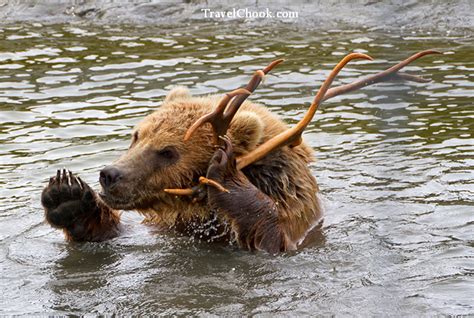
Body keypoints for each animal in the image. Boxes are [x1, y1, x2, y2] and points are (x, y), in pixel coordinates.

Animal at [40, 49, 440, 253]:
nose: (111, 174)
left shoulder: (293, 225)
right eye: (137, 135)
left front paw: (226, 176)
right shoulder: (165, 229)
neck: (202, 219)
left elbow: (272, 238)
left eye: (167, 151)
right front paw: (67, 194)